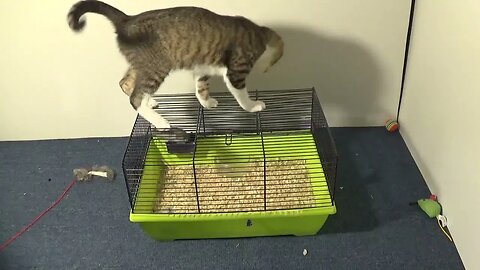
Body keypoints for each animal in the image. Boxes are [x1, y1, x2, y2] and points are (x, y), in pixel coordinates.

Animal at [68, 0, 284, 131]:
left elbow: (201, 88)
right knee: (135, 98)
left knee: (125, 83)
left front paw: (207, 103)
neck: (260, 34)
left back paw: (150, 102)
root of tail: (126, 20)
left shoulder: (202, 68)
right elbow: (241, 95)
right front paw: (253, 106)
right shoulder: (236, 72)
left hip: (141, 65)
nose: (267, 70)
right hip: (157, 67)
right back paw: (161, 122)